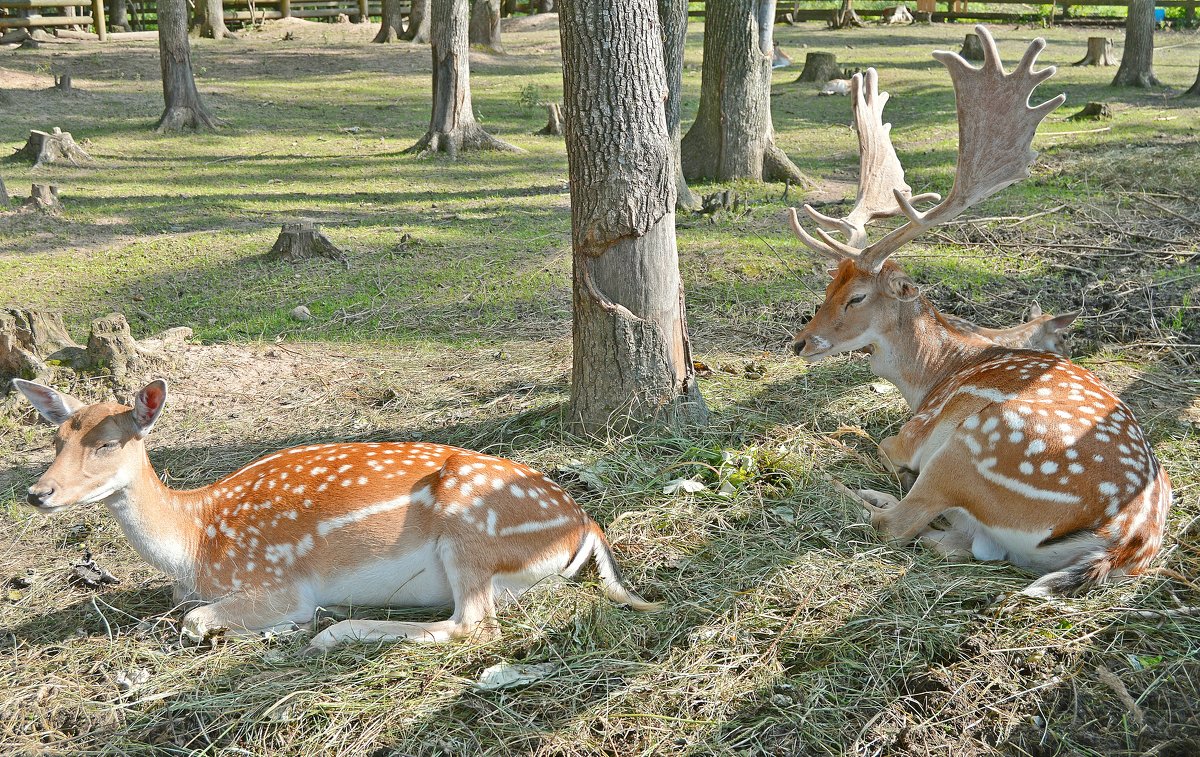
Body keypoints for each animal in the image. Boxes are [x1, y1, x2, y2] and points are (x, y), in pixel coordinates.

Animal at [9, 379, 662, 652]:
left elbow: (194, 622)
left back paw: (332, 631)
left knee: (474, 623)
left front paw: (279, 628)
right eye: (55, 437)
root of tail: (584, 524)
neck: (194, 544)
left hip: (470, 529)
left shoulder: (274, 580)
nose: (38, 493)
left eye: (106, 443)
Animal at [787, 25, 1171, 597]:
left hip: (968, 451)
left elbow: (884, 445)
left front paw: (855, 446)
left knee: (895, 523)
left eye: (857, 297)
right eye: (830, 283)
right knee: (950, 541)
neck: (938, 372)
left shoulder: (917, 428)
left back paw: (845, 481)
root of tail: (1124, 541)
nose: (800, 341)